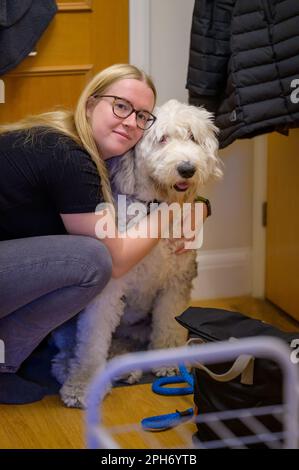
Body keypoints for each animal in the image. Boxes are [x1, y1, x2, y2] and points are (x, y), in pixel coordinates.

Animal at [52, 99, 223, 408]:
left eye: (192, 137)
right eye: (162, 138)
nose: (187, 168)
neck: (154, 206)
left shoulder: (176, 283)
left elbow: (169, 323)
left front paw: (168, 361)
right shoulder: (108, 290)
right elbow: (91, 343)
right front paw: (83, 386)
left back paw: (128, 368)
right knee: (65, 355)